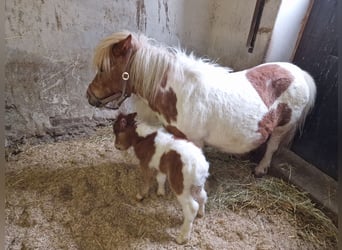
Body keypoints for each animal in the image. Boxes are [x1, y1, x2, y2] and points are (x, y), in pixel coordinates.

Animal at [87, 30, 316, 176]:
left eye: (103, 68)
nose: (89, 95)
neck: (180, 93)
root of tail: (298, 72)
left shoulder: (194, 140)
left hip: (283, 126)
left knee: (272, 145)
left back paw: (261, 169)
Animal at [113, 112, 208, 243]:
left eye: (117, 131)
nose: (116, 146)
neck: (143, 137)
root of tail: (201, 166)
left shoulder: (144, 163)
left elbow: (147, 179)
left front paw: (141, 195)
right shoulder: (161, 165)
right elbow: (160, 178)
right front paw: (160, 192)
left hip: (180, 185)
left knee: (191, 207)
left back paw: (182, 238)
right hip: (197, 185)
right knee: (203, 196)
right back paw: (201, 214)